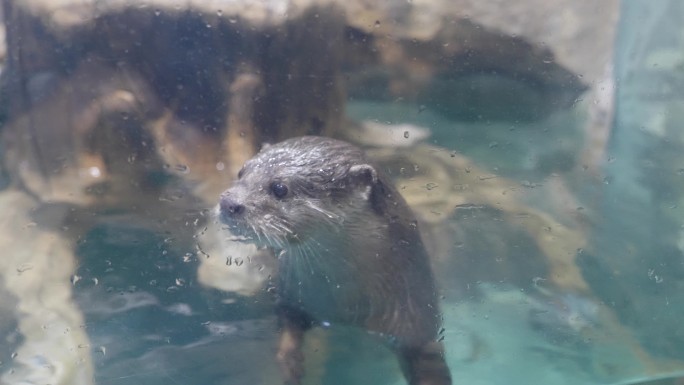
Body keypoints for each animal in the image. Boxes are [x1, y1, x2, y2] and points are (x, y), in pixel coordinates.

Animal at [219, 136, 452, 382]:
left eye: (280, 188)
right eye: (241, 172)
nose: (228, 202)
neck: (345, 304)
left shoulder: (416, 323)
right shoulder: (293, 295)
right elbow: (290, 324)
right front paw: (290, 362)